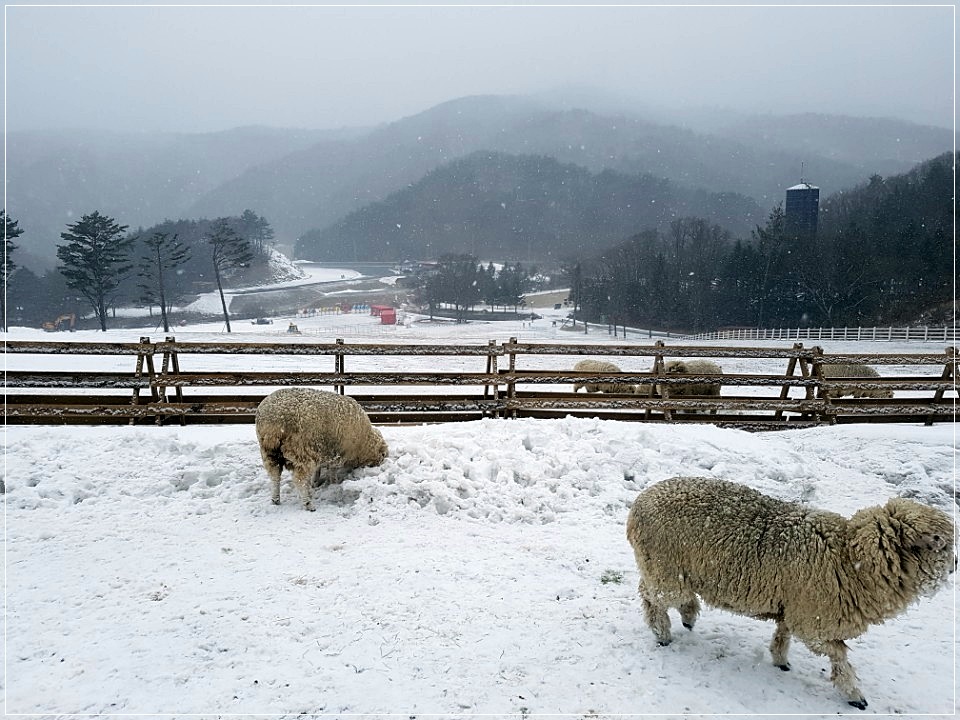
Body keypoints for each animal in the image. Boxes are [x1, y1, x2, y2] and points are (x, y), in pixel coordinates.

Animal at [258, 388, 390, 512]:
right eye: (383, 455)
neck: (364, 442)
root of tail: (275, 421)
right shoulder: (338, 454)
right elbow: (332, 470)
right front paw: (334, 483)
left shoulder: (321, 451)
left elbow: (318, 469)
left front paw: (315, 482)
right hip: (301, 451)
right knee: (300, 479)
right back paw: (308, 504)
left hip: (269, 453)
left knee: (275, 476)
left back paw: (275, 499)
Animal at [624, 478, 952, 708]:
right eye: (940, 543)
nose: (953, 568)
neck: (850, 560)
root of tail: (638, 504)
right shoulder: (814, 623)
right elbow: (839, 656)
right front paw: (854, 694)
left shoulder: (794, 608)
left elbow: (783, 634)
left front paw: (780, 660)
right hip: (664, 569)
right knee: (651, 597)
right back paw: (662, 632)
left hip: (668, 569)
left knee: (667, 595)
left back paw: (688, 616)